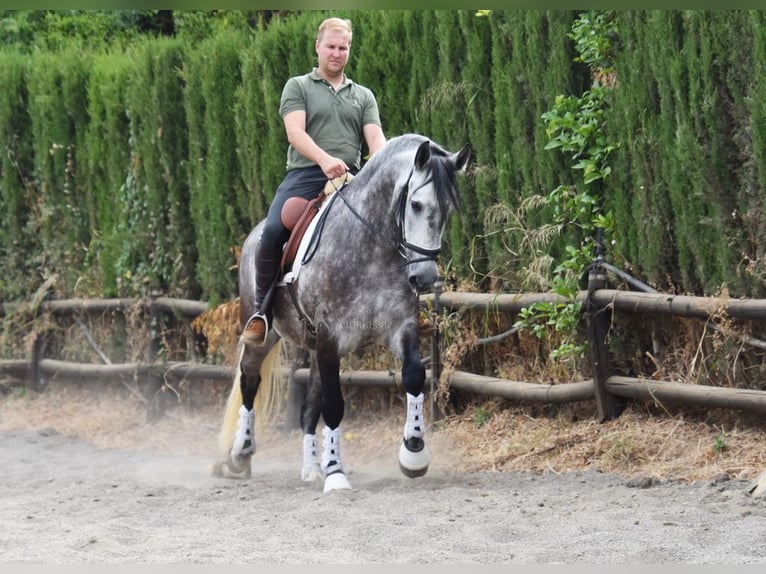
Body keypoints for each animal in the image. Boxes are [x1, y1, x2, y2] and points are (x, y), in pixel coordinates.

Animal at [213, 133, 470, 492]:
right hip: (266, 334)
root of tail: (253, 235)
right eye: (416, 205)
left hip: (314, 348)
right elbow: (334, 405)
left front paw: (414, 452)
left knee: (308, 407)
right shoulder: (331, 338)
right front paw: (335, 473)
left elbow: (414, 375)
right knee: (250, 379)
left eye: (449, 210)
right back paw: (241, 453)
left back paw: (311, 469)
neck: (371, 247)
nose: (424, 277)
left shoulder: (399, 327)